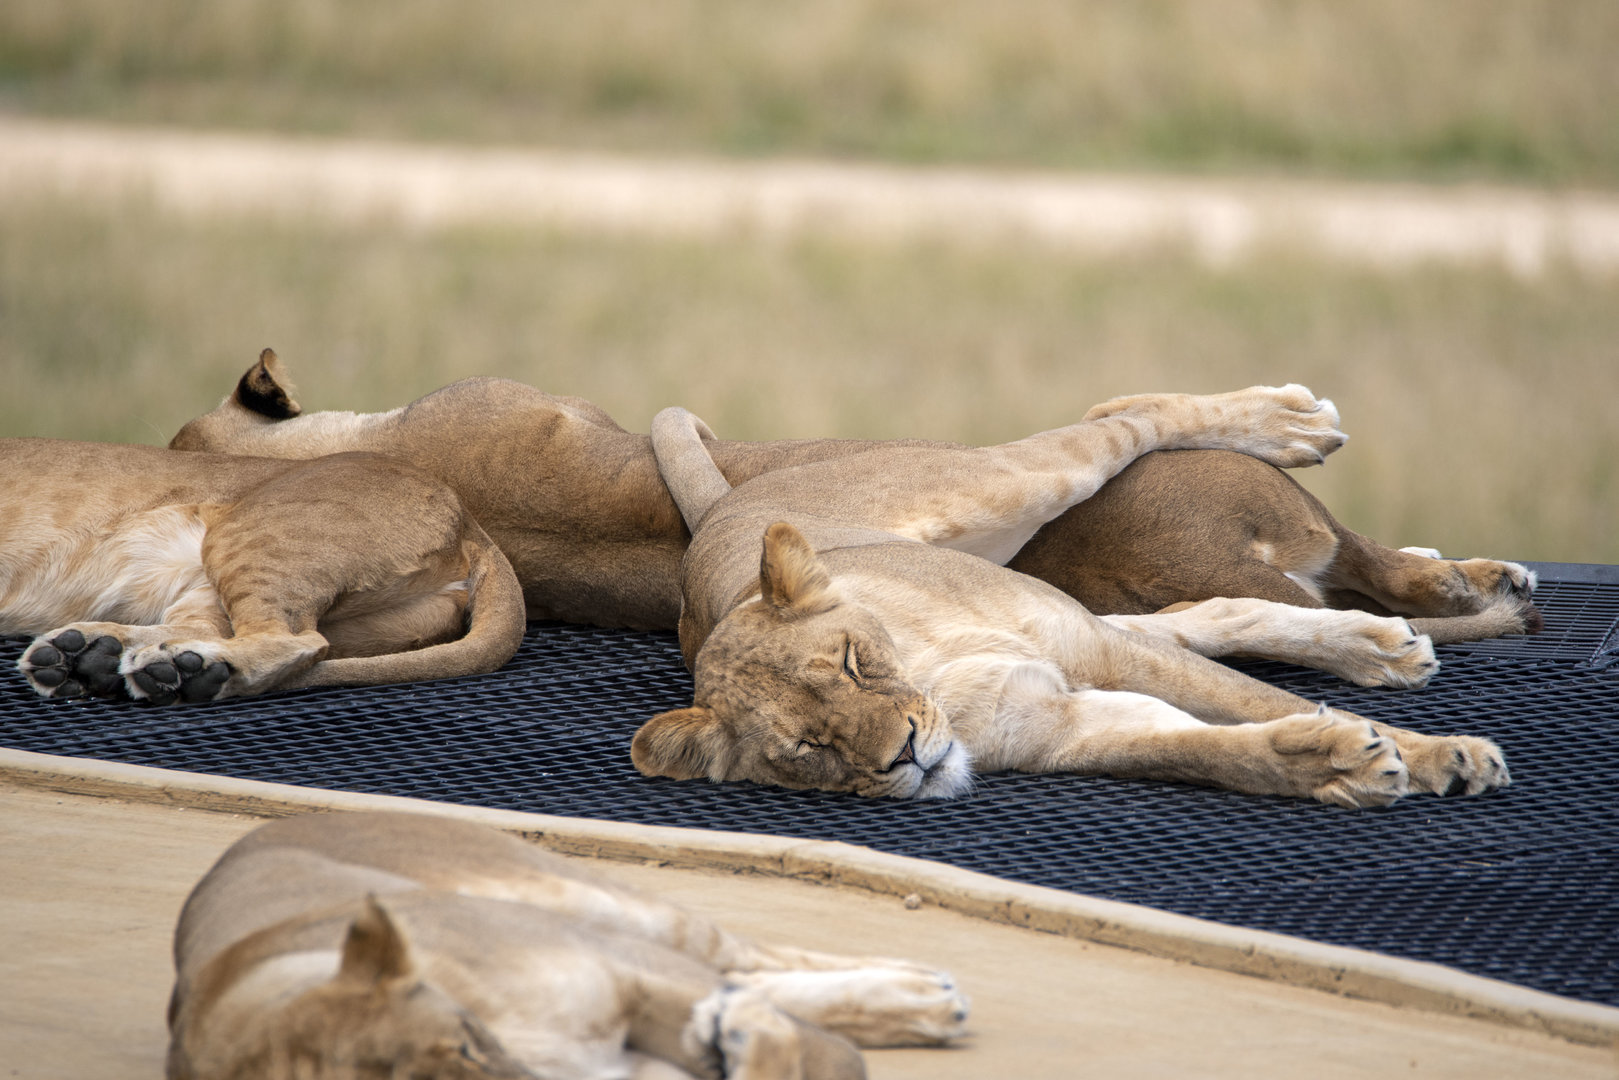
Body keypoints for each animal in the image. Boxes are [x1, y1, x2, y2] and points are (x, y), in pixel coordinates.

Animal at [2, 439, 524, 704]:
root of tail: (470, 523)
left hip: (246, 536)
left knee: (295, 640)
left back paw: (187, 671)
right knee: (202, 629)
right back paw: (90, 656)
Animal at [168, 811, 968, 1079]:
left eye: (466, 1041)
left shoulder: (625, 970)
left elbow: (819, 1054)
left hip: (589, 903)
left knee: (745, 956)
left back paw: (929, 992)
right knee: (749, 973)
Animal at [630, 388, 1511, 808]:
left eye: (848, 663)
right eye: (806, 749)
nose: (906, 754)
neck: (930, 675)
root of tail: (724, 510)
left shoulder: (1098, 654)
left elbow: (1254, 702)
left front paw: (1443, 756)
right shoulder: (1058, 728)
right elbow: (1204, 748)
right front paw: (1331, 762)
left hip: (1006, 487)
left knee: (1123, 421)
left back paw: (1290, 423)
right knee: (1198, 614)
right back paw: (1380, 645)